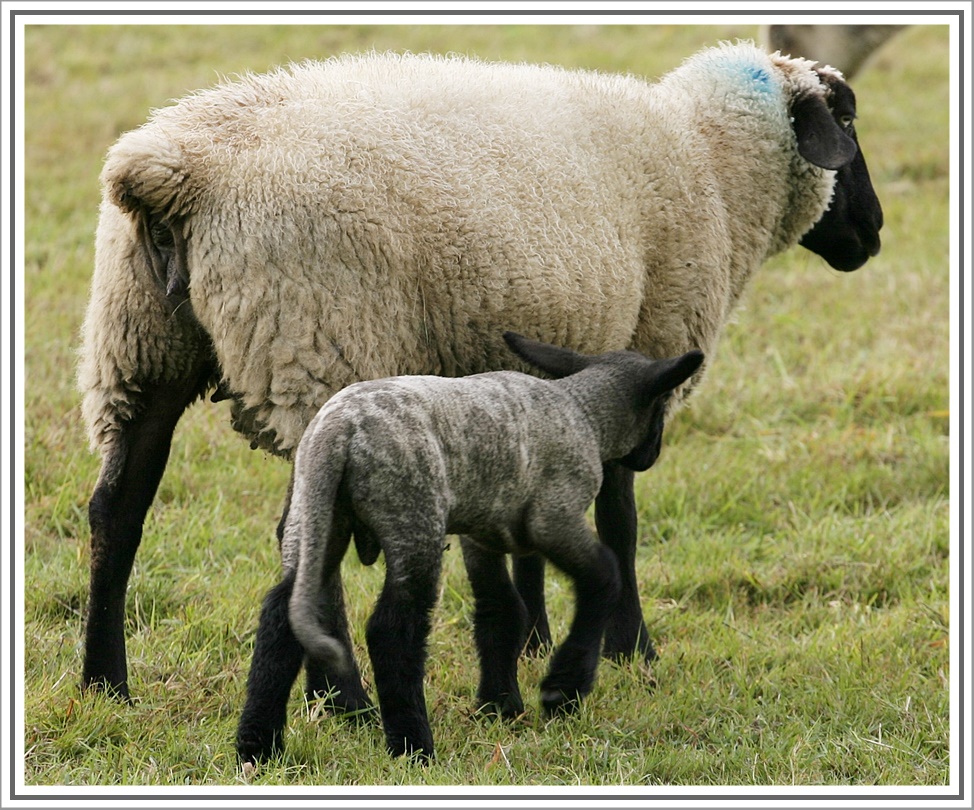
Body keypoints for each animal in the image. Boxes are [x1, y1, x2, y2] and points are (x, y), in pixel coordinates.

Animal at [76, 42, 884, 708]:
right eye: (845, 119)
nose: (873, 234)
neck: (709, 161)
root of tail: (168, 175)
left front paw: (533, 639)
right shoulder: (647, 346)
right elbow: (621, 520)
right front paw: (632, 649)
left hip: (139, 348)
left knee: (117, 512)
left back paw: (105, 682)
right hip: (314, 345)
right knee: (301, 534)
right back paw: (343, 700)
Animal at [234, 332, 708, 760]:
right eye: (662, 408)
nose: (650, 456)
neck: (584, 413)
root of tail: (336, 434)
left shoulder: (485, 532)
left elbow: (502, 609)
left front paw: (499, 705)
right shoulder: (554, 517)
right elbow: (604, 578)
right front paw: (563, 689)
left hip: (316, 516)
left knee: (281, 615)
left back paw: (258, 748)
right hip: (413, 515)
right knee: (392, 629)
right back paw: (413, 747)